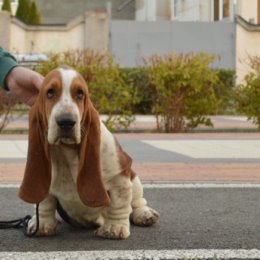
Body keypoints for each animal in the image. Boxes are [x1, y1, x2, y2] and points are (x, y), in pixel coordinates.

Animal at [18, 66, 158, 239]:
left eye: (80, 94)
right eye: (50, 92)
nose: (66, 122)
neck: (66, 150)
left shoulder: (119, 174)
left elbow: (119, 202)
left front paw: (114, 227)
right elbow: (45, 202)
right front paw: (42, 224)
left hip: (134, 177)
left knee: (137, 202)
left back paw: (144, 214)